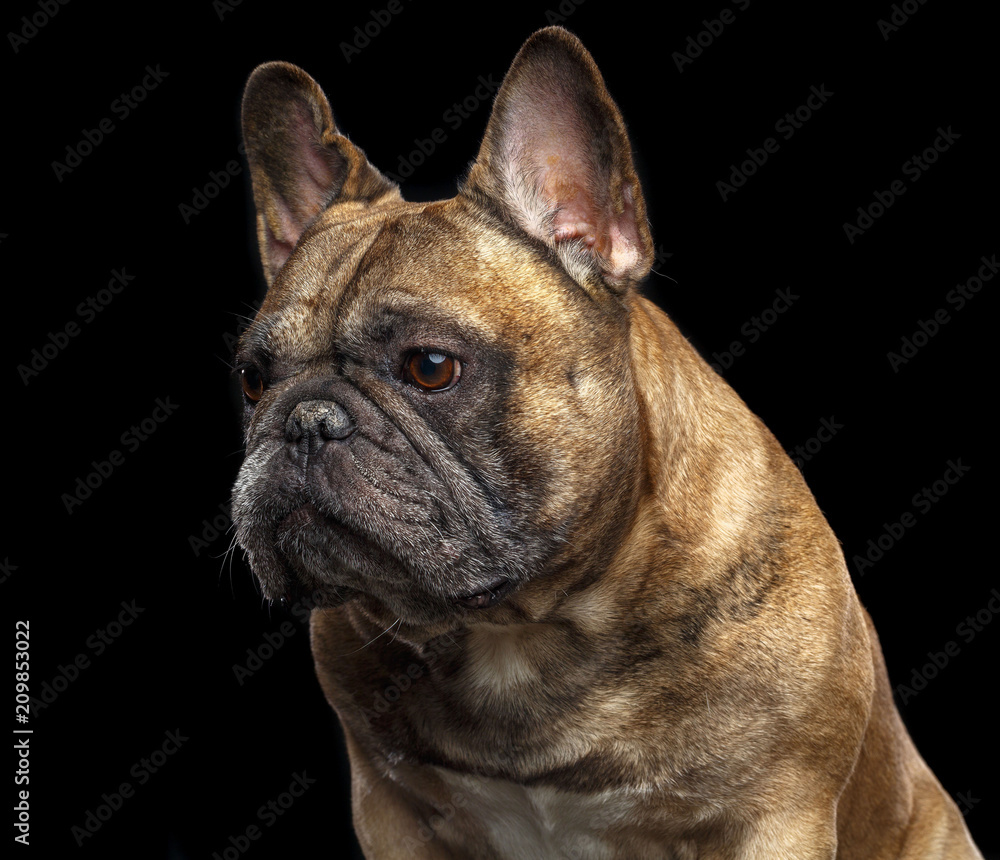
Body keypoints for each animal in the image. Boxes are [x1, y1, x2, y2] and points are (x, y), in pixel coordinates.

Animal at [232, 23, 984, 856]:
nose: (305, 421)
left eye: (430, 367)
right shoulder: (393, 811)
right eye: (253, 380)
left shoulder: (774, 813)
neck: (522, 631)